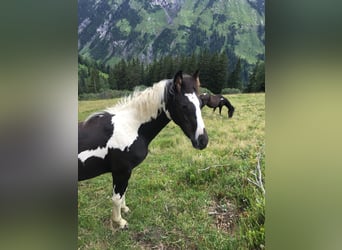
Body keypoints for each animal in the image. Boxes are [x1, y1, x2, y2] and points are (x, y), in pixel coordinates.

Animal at [79, 70, 208, 229]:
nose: (203, 141)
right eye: (184, 106)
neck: (131, 126)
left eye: (201, 104)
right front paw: (119, 222)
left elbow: (123, 192)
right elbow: (117, 197)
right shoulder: (121, 171)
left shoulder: (124, 172)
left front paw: (124, 209)